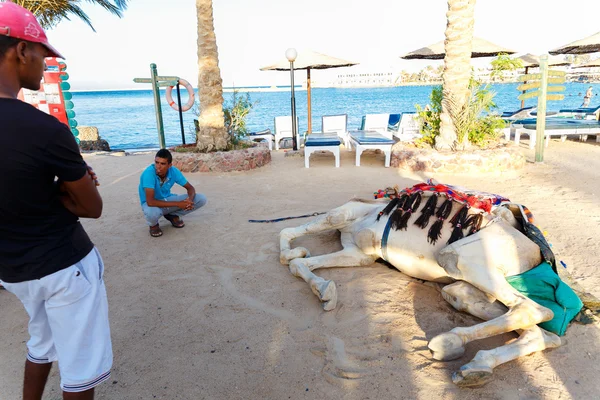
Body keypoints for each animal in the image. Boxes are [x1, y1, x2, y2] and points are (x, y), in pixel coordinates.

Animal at [278, 187, 568, 388]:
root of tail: (537, 254)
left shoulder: (344, 216)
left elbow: (286, 240)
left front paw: (294, 253)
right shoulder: (358, 253)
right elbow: (300, 264)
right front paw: (325, 291)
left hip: (459, 258)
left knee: (534, 309)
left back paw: (448, 343)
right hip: (466, 286)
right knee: (538, 330)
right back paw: (477, 367)